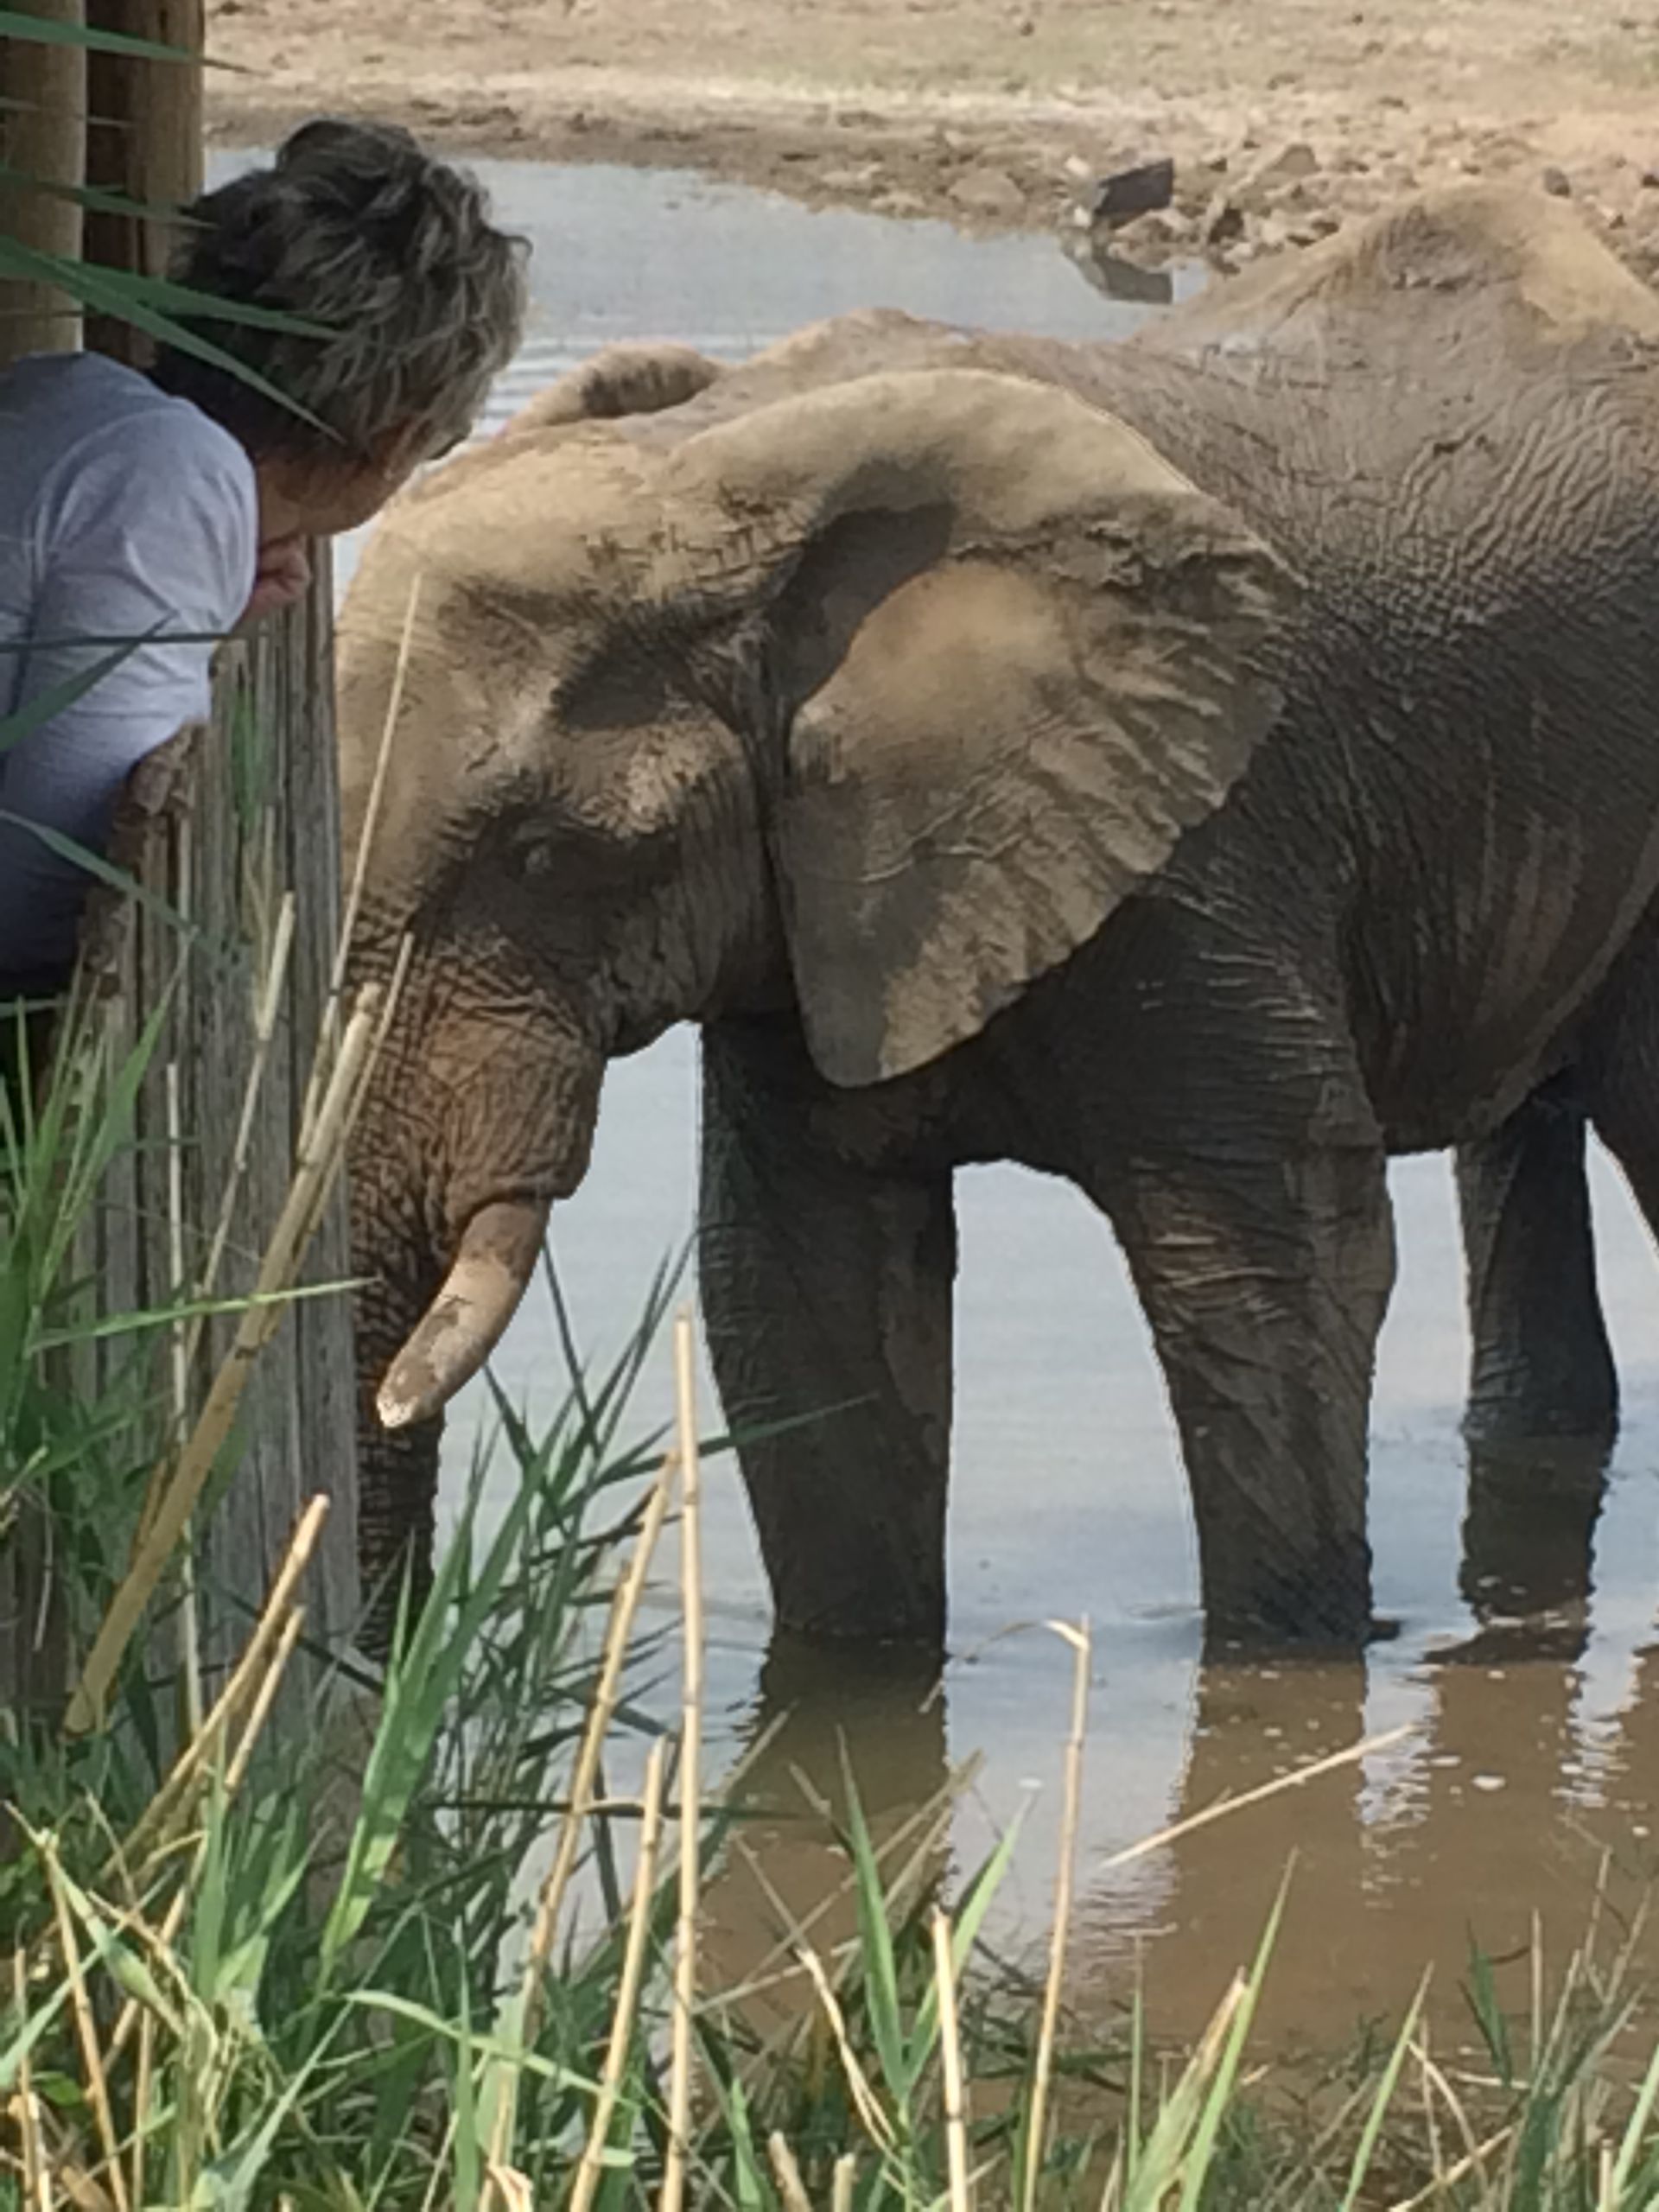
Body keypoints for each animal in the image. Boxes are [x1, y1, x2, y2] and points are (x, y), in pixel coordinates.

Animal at [335, 182, 1659, 1658]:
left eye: (550, 854)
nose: (387, 1663)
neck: (718, 470)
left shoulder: (1206, 842)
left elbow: (1277, 1269)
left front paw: (1287, 1676)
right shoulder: (814, 912)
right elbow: (805, 1303)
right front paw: (849, 1696)